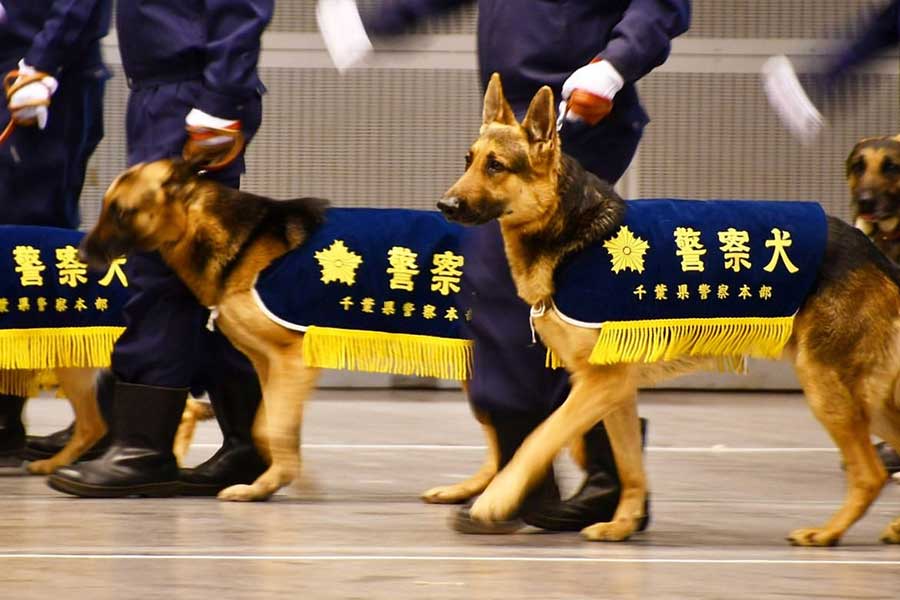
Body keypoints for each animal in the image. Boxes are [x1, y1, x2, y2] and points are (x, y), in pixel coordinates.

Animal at [76, 161, 500, 506]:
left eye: (121, 211)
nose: (81, 256)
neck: (242, 243)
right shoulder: (269, 365)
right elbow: (264, 427)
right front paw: (277, 479)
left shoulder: (290, 361)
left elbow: (275, 428)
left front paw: (271, 484)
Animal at [436, 72, 900, 548]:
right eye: (469, 161)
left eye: (496, 166)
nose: (445, 206)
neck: (572, 231)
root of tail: (869, 249)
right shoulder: (613, 389)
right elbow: (627, 464)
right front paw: (623, 523)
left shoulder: (599, 384)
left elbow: (539, 438)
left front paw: (498, 498)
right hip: (870, 396)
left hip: (828, 387)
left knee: (870, 473)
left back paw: (827, 532)